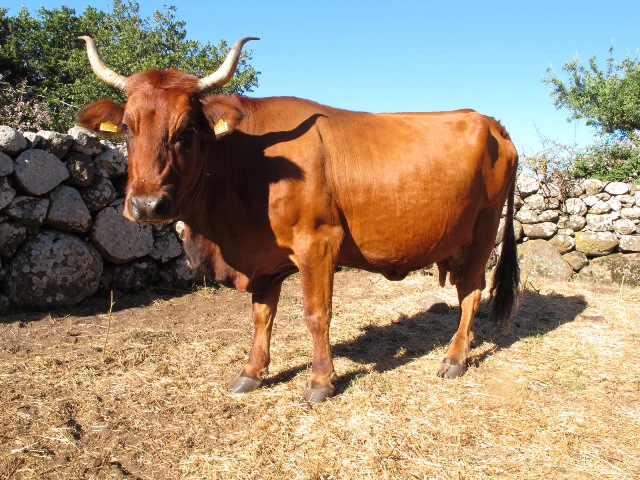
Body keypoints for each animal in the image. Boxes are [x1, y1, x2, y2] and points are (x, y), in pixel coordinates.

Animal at [79, 36, 520, 402]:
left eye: (186, 130)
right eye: (126, 127)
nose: (146, 205)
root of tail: (491, 122)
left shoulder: (318, 243)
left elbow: (316, 314)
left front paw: (321, 381)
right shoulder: (263, 258)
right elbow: (261, 315)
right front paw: (251, 373)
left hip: (484, 229)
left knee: (472, 292)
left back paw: (454, 359)